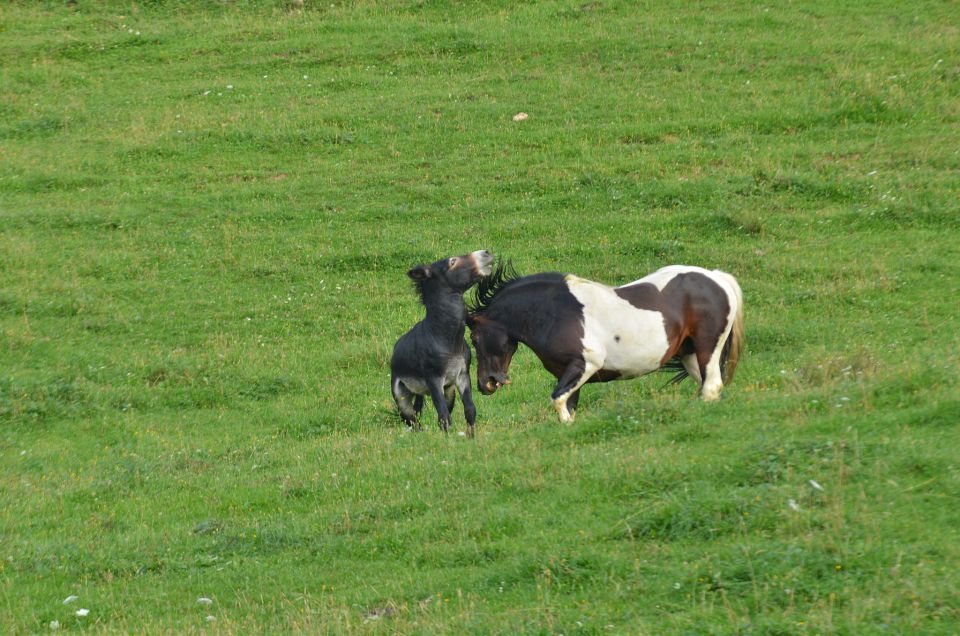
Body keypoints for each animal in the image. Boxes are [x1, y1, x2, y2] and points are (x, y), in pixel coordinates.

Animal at [468, 264, 748, 422]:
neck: (555, 312)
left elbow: (557, 400)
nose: (485, 384)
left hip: (707, 348)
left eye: (474, 338)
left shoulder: (585, 364)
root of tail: (717, 278)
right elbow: (568, 409)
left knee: (711, 387)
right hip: (690, 355)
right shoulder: (568, 374)